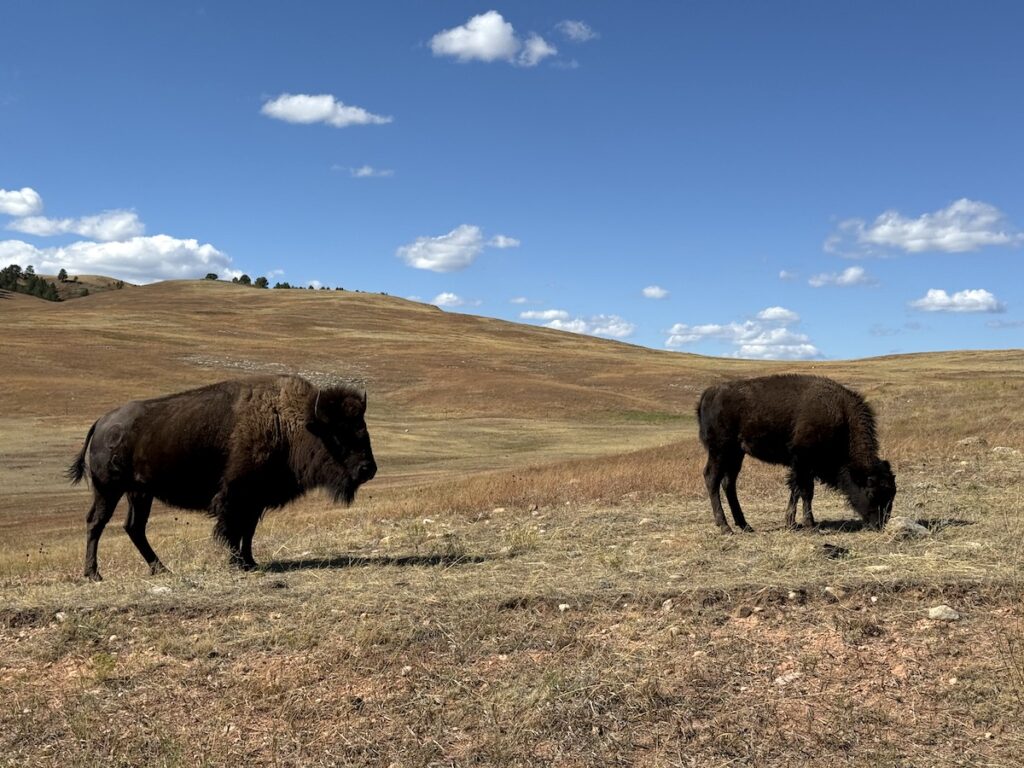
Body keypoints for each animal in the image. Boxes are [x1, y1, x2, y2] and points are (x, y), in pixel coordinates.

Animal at [68, 375, 377, 580]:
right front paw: (237, 563)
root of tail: (102, 422)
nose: (368, 469)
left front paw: (250, 562)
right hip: (109, 490)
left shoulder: (255, 500)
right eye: (339, 433)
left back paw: (161, 569)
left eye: (363, 427)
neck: (288, 422)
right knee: (97, 523)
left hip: (139, 493)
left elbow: (247, 532)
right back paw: (94, 574)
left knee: (134, 527)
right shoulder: (236, 496)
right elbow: (232, 530)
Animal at [696, 374, 895, 533]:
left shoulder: (801, 466)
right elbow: (806, 492)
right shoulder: (803, 461)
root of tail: (709, 394)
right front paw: (810, 525)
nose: (879, 524)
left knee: (729, 483)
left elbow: (795, 490)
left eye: (892, 493)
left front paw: (791, 523)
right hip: (720, 450)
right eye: (871, 493)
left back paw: (745, 525)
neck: (841, 416)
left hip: (736, 454)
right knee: (711, 478)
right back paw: (725, 526)